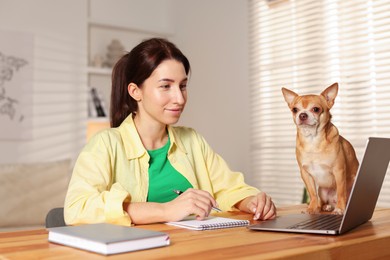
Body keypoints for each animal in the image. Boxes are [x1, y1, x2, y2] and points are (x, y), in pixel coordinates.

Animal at [280, 83, 360, 215]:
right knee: (322, 201)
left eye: (316, 109)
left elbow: (341, 192)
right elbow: (312, 193)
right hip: (322, 190)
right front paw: (312, 208)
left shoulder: (339, 171)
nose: (302, 115)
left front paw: (340, 209)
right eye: (295, 110)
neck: (313, 140)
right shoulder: (305, 174)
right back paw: (326, 206)